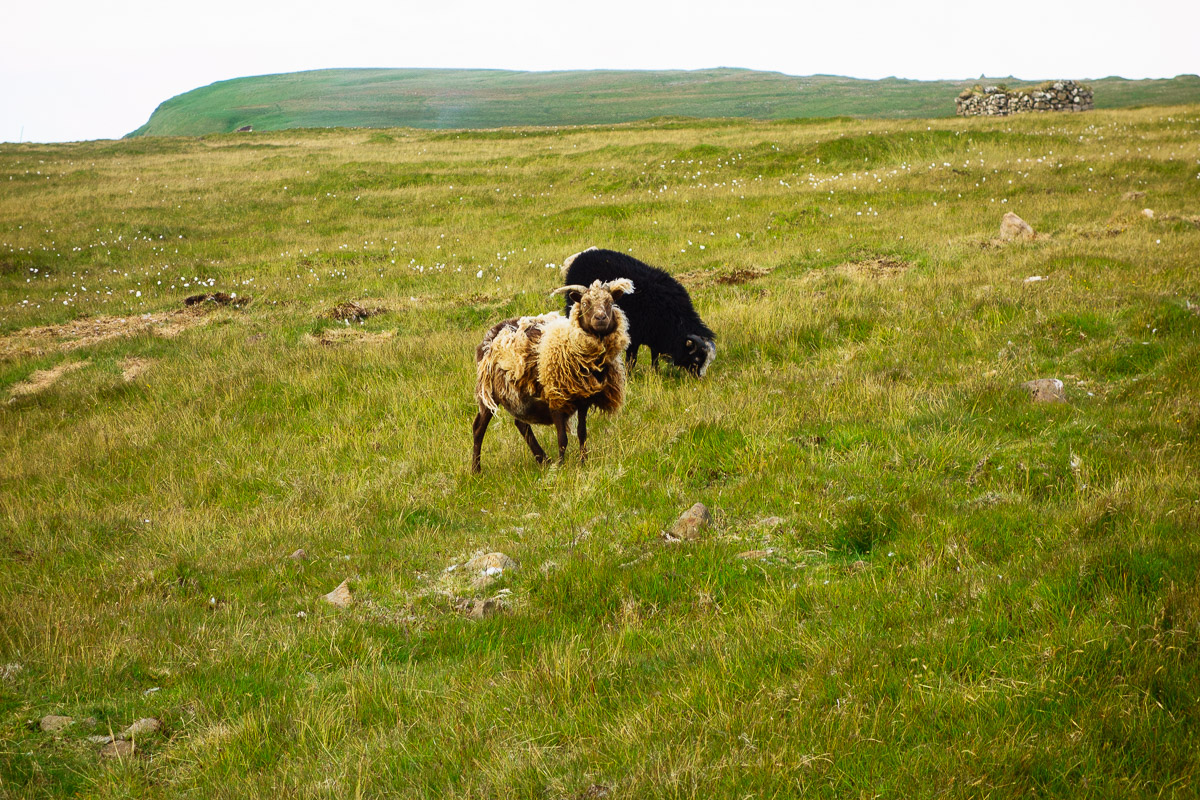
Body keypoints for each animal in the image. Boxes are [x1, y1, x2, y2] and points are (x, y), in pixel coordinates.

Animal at [471, 278, 634, 473]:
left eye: (609, 302)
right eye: (585, 303)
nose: (600, 318)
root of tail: (491, 334)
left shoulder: (584, 399)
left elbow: (582, 432)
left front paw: (583, 462)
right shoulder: (555, 397)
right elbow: (562, 437)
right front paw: (561, 466)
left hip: (517, 394)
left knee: (521, 424)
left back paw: (543, 459)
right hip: (489, 392)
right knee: (478, 428)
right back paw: (476, 470)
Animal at [562, 247, 716, 376]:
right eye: (697, 359)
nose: (700, 378)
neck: (675, 319)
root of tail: (582, 256)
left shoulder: (656, 336)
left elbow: (654, 356)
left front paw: (655, 373)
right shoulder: (634, 335)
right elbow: (632, 359)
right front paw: (629, 376)